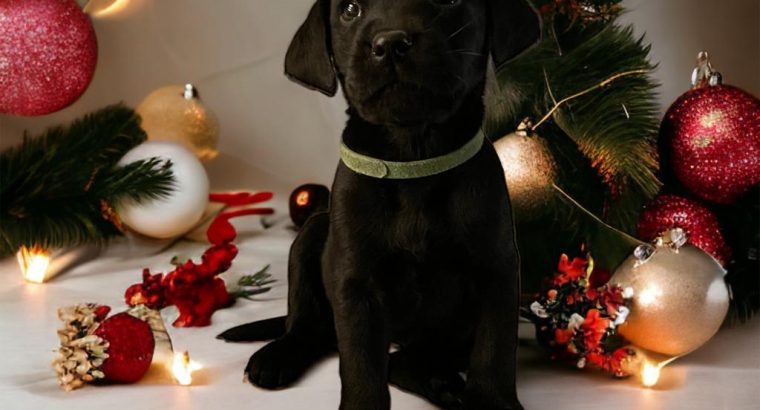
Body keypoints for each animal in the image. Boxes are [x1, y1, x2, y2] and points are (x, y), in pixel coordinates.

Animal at [220, 0, 540, 410]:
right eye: (350, 10)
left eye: (450, 2)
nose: (390, 44)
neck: (414, 161)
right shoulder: (356, 282)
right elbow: (360, 364)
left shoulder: (496, 269)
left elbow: (493, 351)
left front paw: (489, 401)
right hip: (311, 234)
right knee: (310, 326)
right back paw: (278, 355)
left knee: (402, 362)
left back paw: (445, 386)